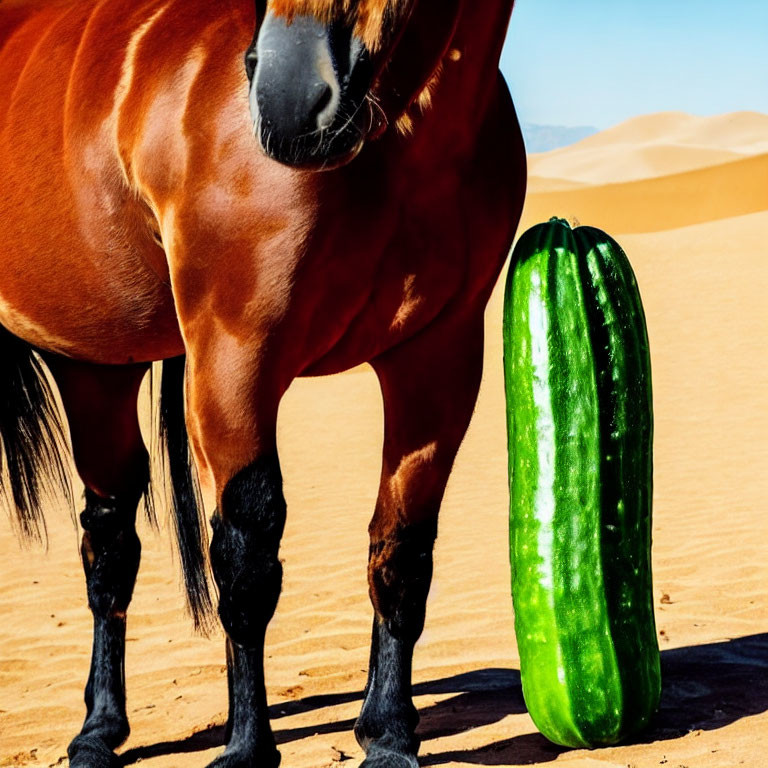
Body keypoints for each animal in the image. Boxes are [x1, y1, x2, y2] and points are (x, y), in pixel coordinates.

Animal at [0, 0, 524, 764]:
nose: (289, 98)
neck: (401, 144)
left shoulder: (441, 358)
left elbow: (401, 550)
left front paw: (389, 734)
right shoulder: (234, 360)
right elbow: (246, 558)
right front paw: (248, 746)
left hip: (95, 362)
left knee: (110, 539)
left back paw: (101, 727)